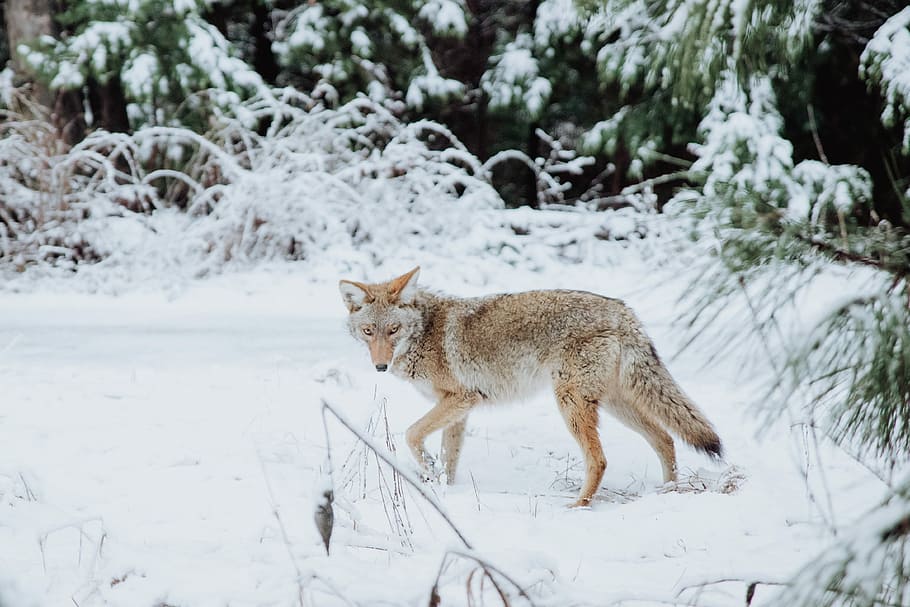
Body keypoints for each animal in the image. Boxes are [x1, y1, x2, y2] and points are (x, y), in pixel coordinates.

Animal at [339, 267, 723, 507]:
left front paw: (430, 471)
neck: (425, 332)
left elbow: (411, 434)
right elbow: (449, 458)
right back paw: (668, 492)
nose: (380, 366)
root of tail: (623, 312)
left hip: (571, 403)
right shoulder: (459, 410)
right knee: (666, 439)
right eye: (369, 331)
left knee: (600, 459)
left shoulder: (462, 398)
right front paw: (444, 488)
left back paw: (577, 506)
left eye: (393, 330)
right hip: (615, 404)